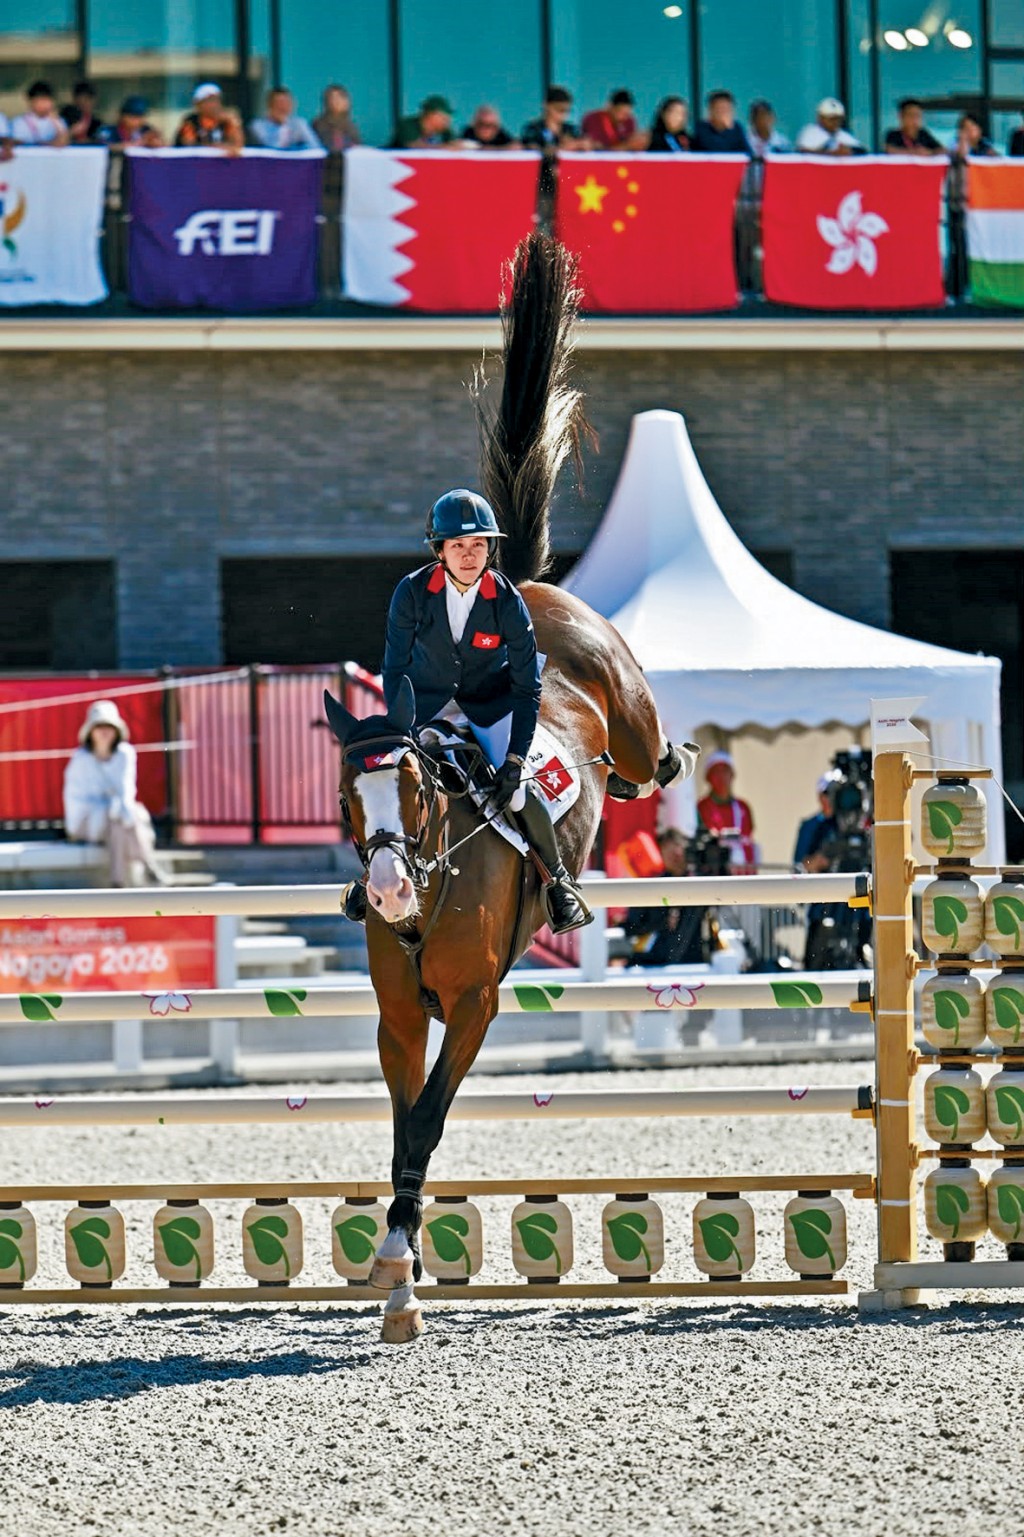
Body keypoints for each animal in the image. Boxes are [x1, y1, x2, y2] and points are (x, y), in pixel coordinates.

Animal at [324, 233, 697, 1341]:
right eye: (348, 797)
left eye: (411, 787)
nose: (386, 888)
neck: (428, 895)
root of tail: (525, 580)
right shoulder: (401, 1013)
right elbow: (404, 1122)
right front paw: (395, 1261)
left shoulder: (476, 1003)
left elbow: (429, 1119)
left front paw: (399, 1265)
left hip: (615, 704)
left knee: (643, 755)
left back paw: (669, 769)